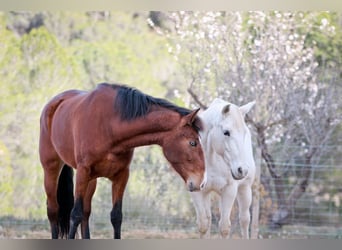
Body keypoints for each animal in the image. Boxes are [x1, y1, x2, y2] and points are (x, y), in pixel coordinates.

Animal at [39, 83, 207, 239]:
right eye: (193, 143)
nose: (201, 182)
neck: (109, 126)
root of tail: (54, 103)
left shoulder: (121, 175)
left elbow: (116, 216)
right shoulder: (83, 172)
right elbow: (75, 214)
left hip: (91, 180)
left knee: (86, 214)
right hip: (52, 169)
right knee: (53, 210)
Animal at [191, 97, 255, 238]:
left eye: (244, 133)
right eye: (226, 132)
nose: (242, 170)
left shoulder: (229, 191)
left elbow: (224, 227)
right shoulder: (197, 191)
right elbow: (203, 225)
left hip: (245, 189)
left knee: (244, 220)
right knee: (209, 220)